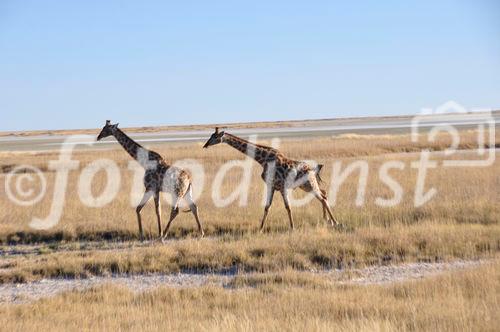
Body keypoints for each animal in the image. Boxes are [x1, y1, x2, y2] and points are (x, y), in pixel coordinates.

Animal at [203, 127, 340, 231]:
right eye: (210, 136)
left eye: (214, 137)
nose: (205, 145)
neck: (263, 159)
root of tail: (313, 169)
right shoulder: (271, 186)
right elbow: (267, 206)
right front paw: (261, 228)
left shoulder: (281, 186)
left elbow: (288, 207)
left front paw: (292, 227)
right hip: (305, 186)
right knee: (324, 194)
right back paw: (328, 220)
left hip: (309, 184)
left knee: (323, 198)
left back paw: (335, 222)